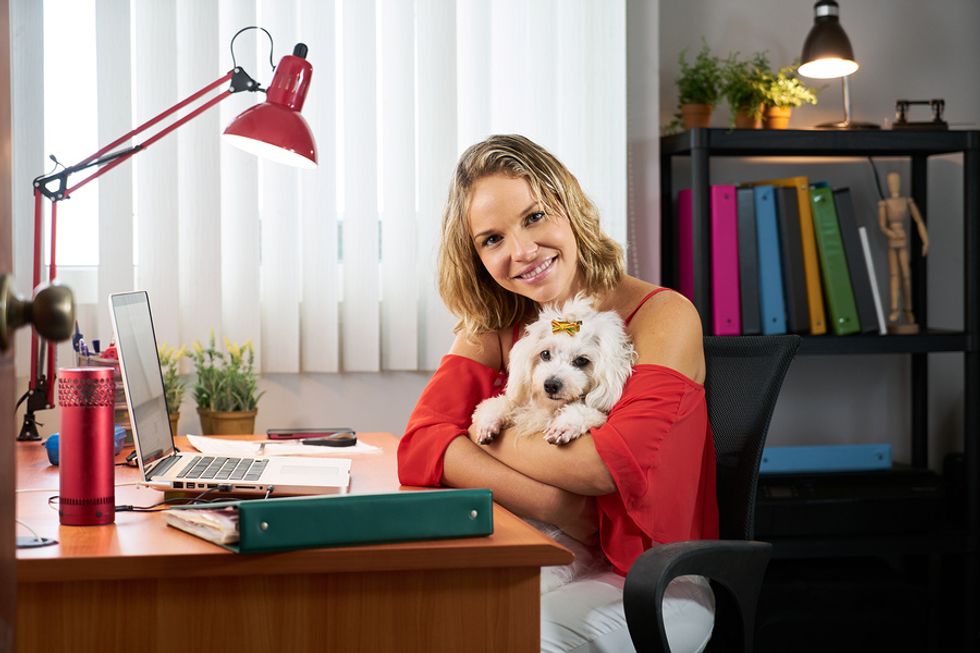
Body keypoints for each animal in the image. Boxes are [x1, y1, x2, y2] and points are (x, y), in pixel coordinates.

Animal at [472, 294, 636, 444]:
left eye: (581, 360)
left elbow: (586, 411)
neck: (551, 408)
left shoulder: (598, 414)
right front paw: (488, 422)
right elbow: (502, 403)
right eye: (545, 354)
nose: (550, 385)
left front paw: (565, 425)